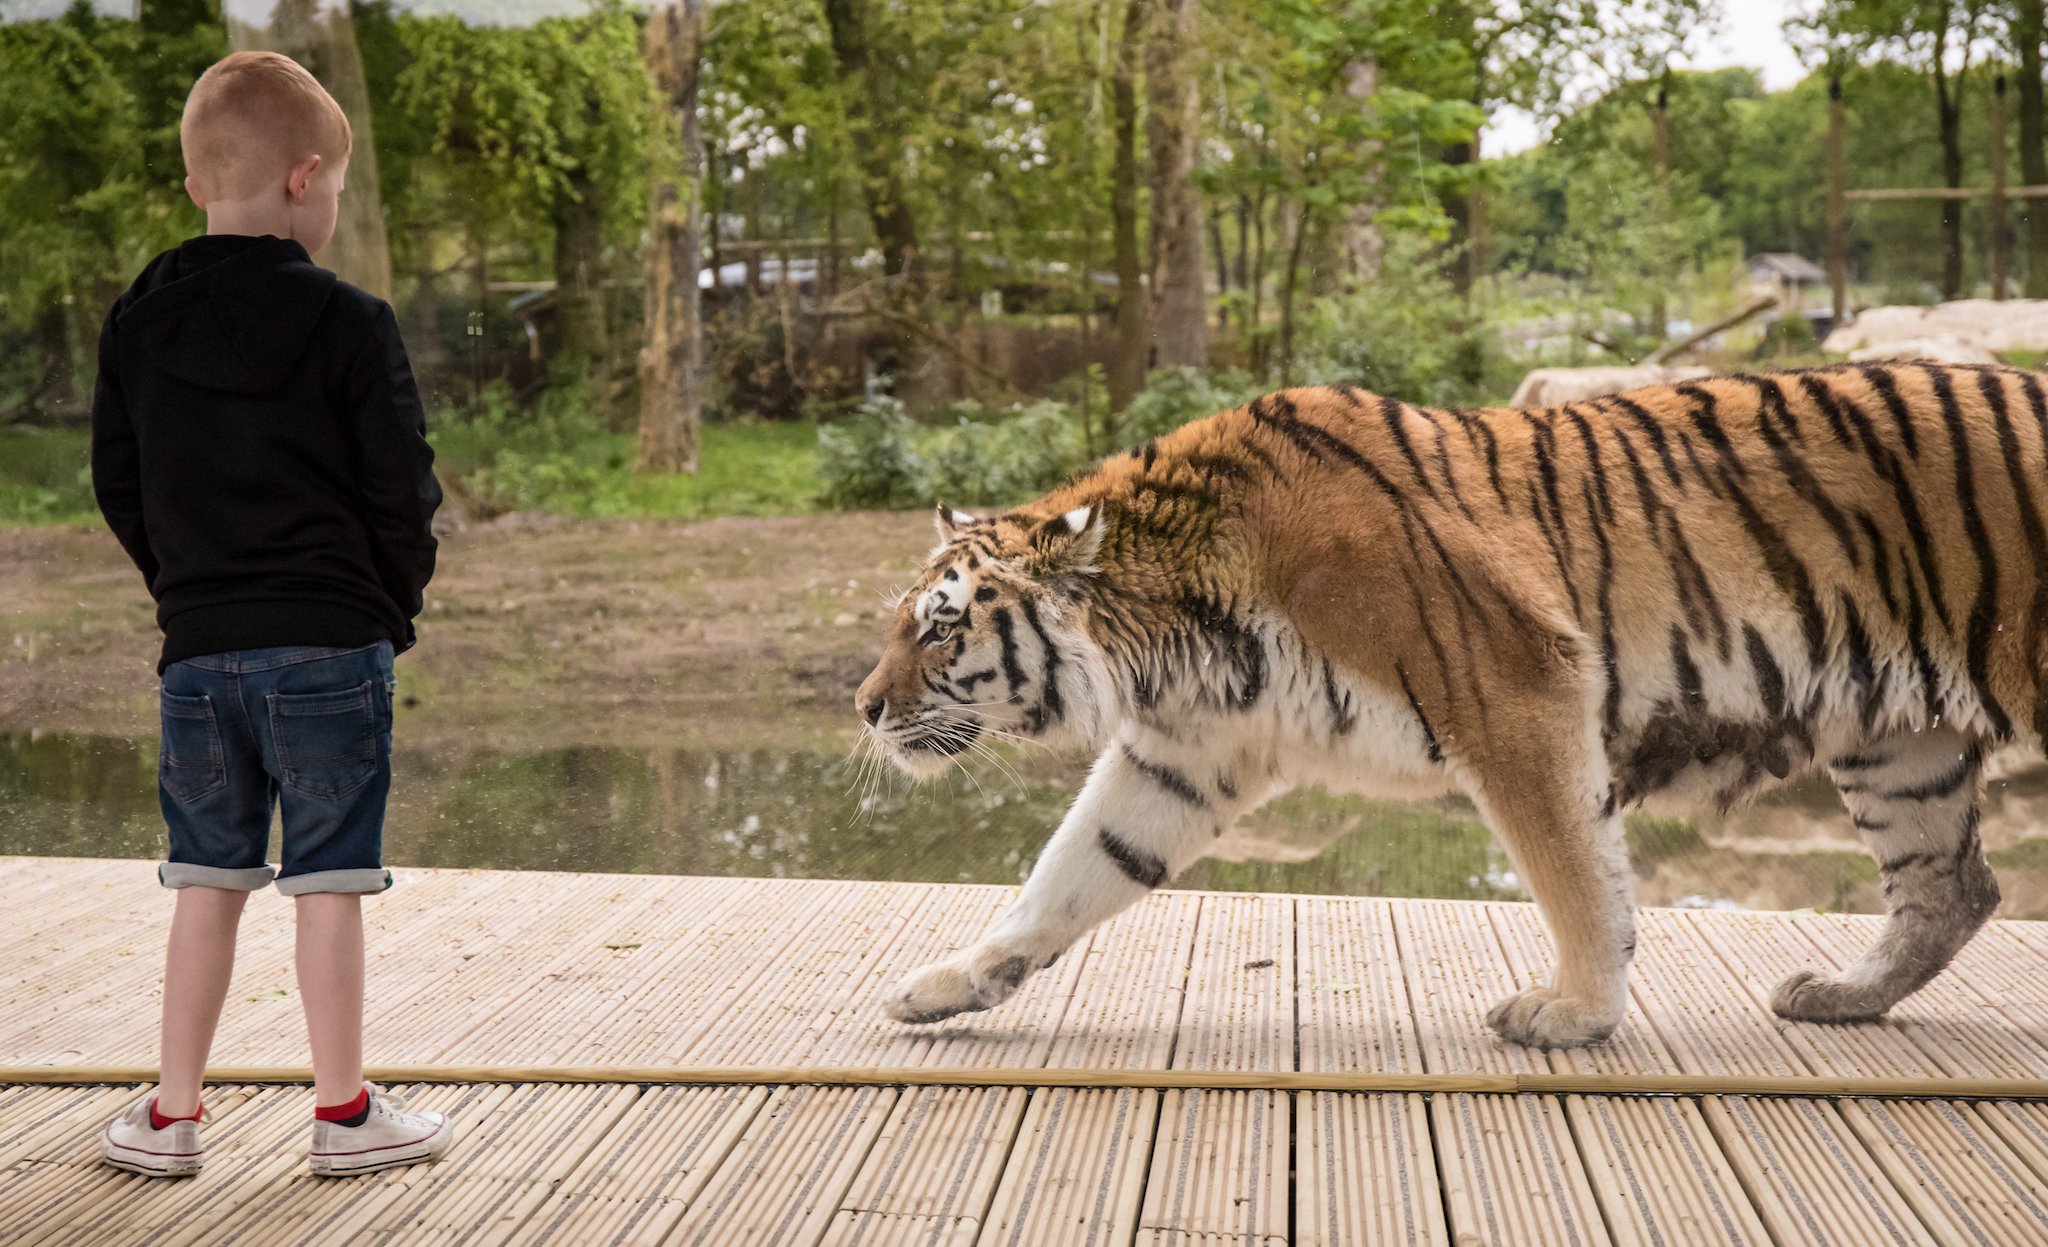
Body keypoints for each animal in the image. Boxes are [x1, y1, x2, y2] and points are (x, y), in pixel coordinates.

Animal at [854, 361, 2046, 1048]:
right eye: (905, 620)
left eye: (941, 628)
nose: (863, 706)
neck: (1174, 629)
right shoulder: (1183, 756)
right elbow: (1067, 876)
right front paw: (945, 985)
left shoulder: (1516, 684)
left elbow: (1575, 872)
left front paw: (1574, 1014)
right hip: (1899, 738)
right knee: (1953, 884)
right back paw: (1837, 994)